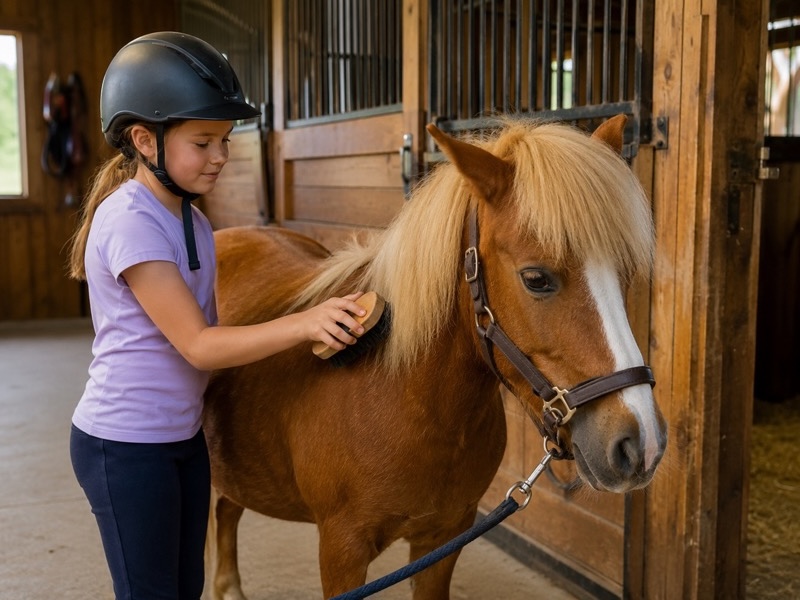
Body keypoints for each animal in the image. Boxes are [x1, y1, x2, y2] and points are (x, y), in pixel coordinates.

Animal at [203, 115, 668, 600]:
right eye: (536, 278)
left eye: (626, 273)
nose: (640, 444)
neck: (404, 399)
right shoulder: (341, 551)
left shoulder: (442, 541)